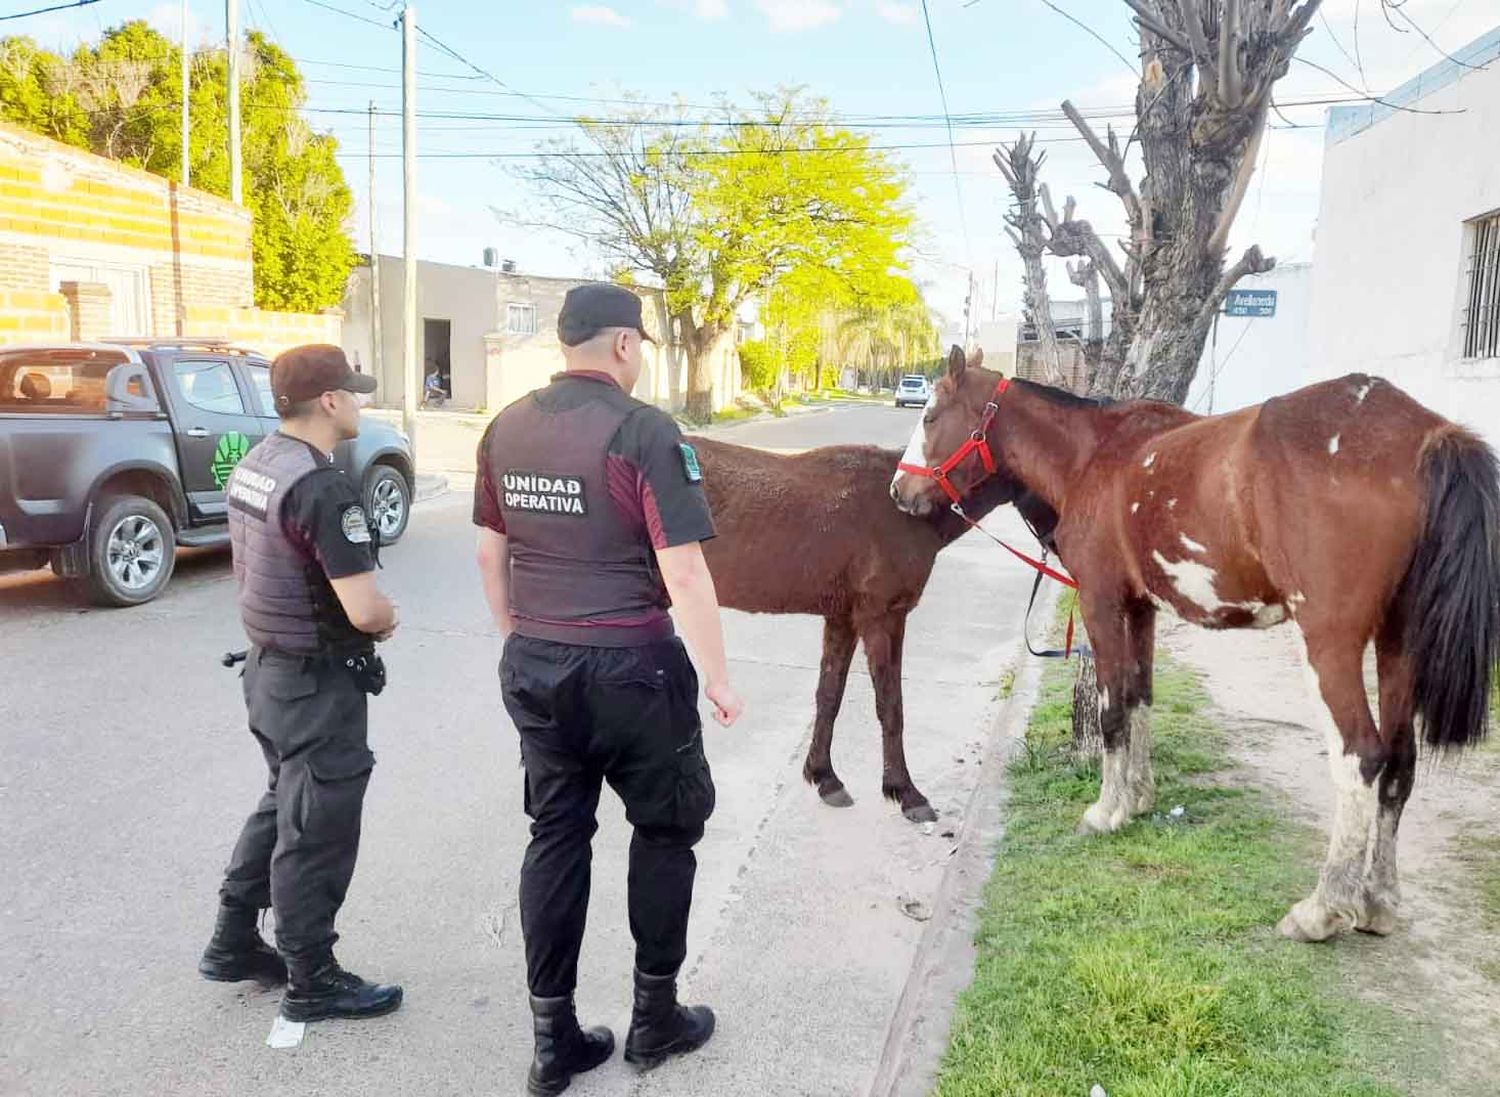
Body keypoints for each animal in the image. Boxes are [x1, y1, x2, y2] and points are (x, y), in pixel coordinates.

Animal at [690, 432, 1056, 822]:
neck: (905, 510)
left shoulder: (843, 619)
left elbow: (829, 696)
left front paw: (824, 777)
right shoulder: (883, 617)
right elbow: (890, 705)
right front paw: (905, 792)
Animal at [888, 348, 1500, 942]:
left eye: (930, 417)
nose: (899, 490)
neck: (1095, 453)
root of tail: (1425, 434)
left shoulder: (1102, 604)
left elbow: (1112, 712)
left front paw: (1105, 812)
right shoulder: (1141, 609)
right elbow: (1139, 700)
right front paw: (1138, 799)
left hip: (1329, 645)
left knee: (1363, 758)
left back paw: (1322, 910)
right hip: (1398, 642)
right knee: (1399, 761)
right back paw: (1377, 902)